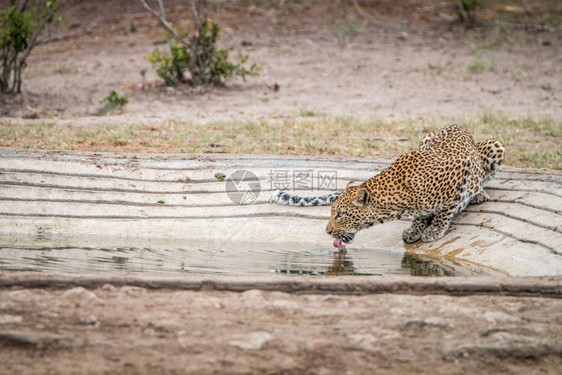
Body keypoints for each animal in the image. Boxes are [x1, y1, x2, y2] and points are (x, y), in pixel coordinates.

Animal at [266, 125, 504, 250]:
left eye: (341, 214)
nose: (328, 231)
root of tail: (461, 127)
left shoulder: (461, 170)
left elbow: (445, 209)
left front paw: (434, 229)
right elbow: (421, 215)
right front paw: (415, 229)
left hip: (496, 145)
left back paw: (479, 194)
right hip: (426, 137)